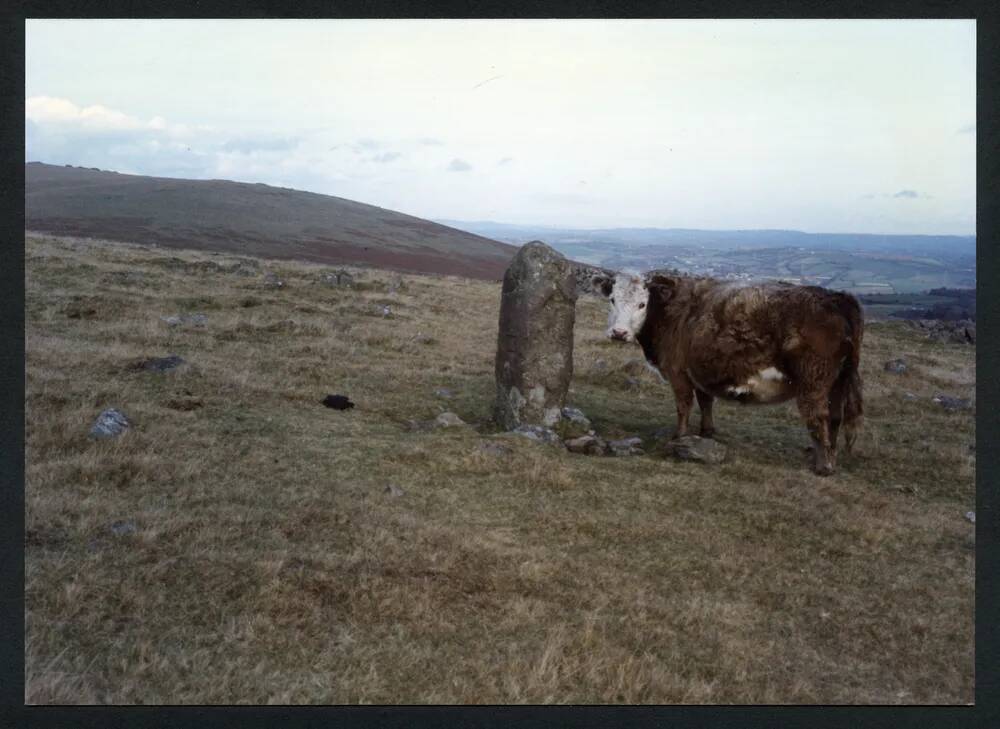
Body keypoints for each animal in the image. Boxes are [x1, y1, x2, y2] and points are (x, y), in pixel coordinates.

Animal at [588, 270, 864, 474]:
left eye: (641, 304)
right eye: (612, 299)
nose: (619, 332)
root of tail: (836, 298)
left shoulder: (678, 372)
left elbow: (683, 405)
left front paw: (678, 436)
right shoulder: (699, 371)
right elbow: (705, 401)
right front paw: (706, 432)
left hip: (813, 381)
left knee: (819, 418)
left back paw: (823, 465)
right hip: (838, 381)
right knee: (836, 418)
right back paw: (830, 455)